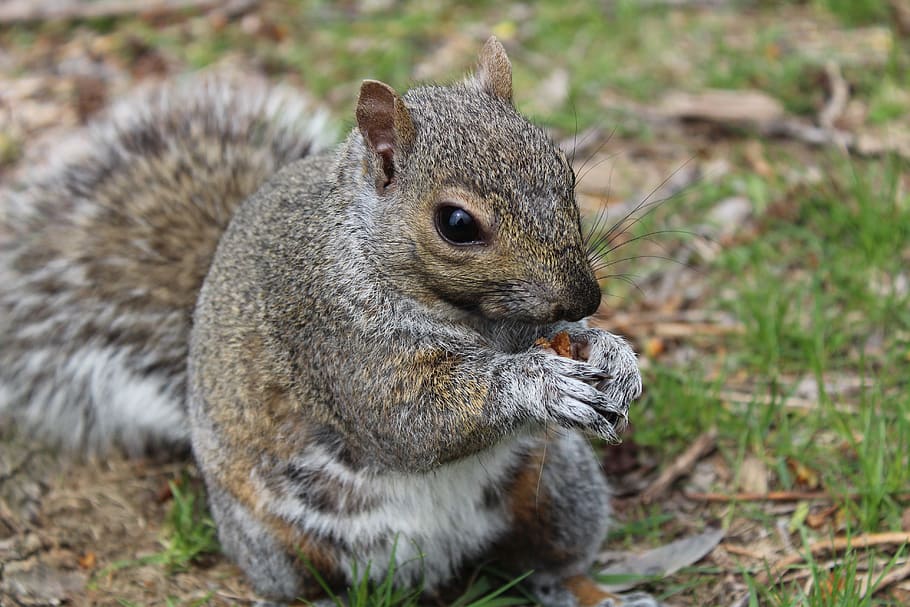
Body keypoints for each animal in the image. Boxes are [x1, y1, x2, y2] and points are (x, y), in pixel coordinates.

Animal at [0, 38, 655, 607]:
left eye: (566, 172)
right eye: (456, 224)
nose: (584, 297)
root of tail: (437, 561)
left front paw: (610, 353)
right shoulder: (331, 335)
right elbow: (408, 421)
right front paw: (539, 383)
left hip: (559, 490)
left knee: (546, 563)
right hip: (277, 541)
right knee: (296, 585)